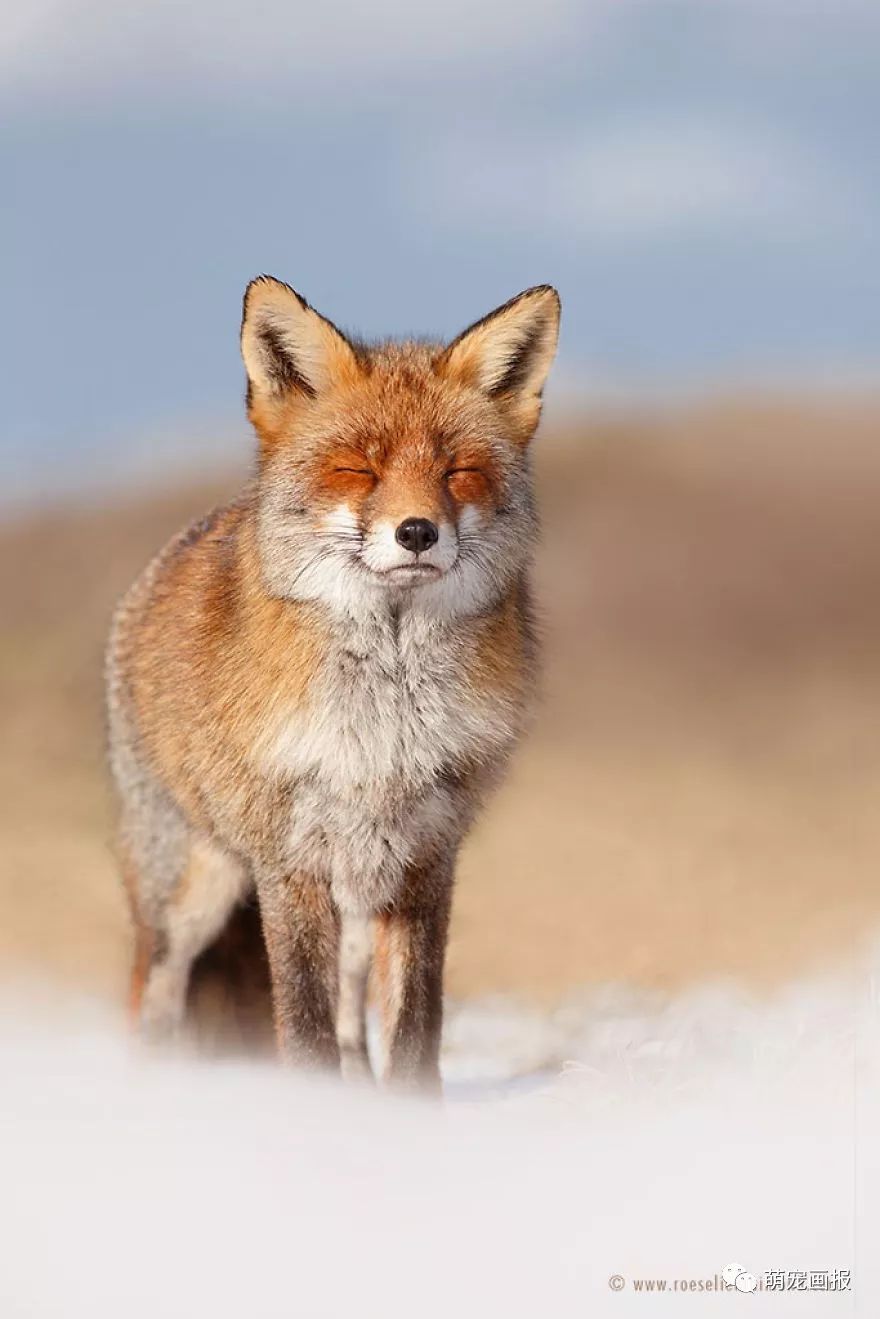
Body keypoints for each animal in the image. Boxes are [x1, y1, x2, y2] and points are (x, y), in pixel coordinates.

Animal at [106, 278, 562, 1092]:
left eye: (456, 472)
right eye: (359, 470)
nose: (417, 532)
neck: (387, 722)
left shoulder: (425, 857)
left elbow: (413, 1029)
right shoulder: (290, 862)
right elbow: (304, 1027)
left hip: (356, 895)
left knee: (355, 1024)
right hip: (190, 891)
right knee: (151, 994)